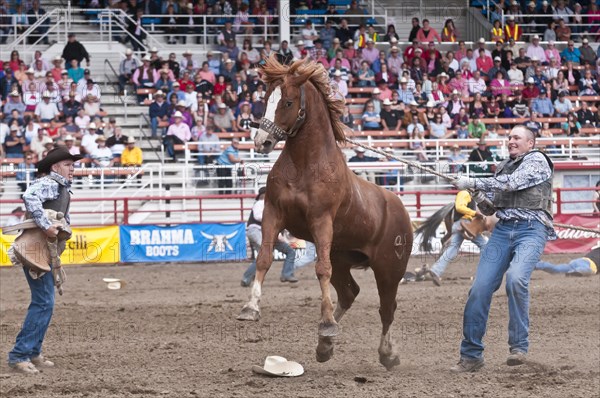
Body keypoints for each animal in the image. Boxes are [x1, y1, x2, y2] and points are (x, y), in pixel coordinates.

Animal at [237, 56, 414, 370]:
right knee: (350, 293)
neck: (306, 165)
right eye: (267, 99)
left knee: (387, 308)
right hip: (343, 258)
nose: (261, 142)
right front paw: (251, 307)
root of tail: (401, 210)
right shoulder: (273, 213)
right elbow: (264, 258)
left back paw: (386, 353)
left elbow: (320, 269)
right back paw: (325, 344)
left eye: (288, 102)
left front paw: (328, 324)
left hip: (389, 269)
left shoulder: (321, 222)